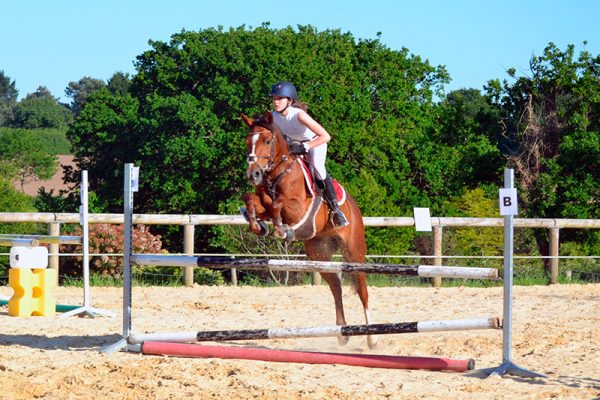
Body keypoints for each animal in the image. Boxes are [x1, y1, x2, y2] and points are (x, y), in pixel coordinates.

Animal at [240, 111, 378, 348]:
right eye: (248, 141)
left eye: (267, 141)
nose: (253, 174)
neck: (277, 173)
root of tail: (355, 208)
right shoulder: (262, 201)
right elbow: (253, 199)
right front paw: (258, 225)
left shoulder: (297, 209)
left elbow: (278, 204)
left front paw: (281, 230)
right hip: (319, 254)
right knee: (336, 287)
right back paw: (342, 333)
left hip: (354, 253)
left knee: (362, 290)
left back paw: (372, 339)